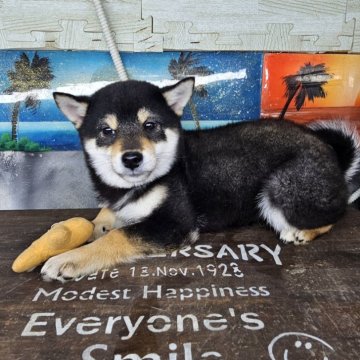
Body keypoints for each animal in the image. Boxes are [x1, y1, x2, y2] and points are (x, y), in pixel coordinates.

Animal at [41, 78, 360, 282]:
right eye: (107, 131)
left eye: (150, 125)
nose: (132, 158)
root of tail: (329, 150)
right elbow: (105, 217)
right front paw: (89, 227)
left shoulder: (174, 223)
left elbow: (117, 236)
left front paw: (69, 258)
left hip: (280, 187)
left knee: (335, 213)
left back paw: (304, 232)